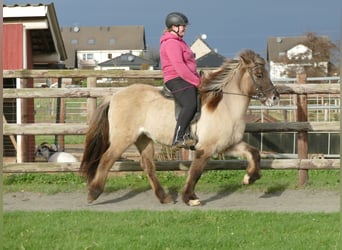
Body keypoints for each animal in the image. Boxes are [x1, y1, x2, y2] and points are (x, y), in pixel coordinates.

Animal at [81, 48, 280, 205]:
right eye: (259, 75)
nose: (274, 97)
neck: (226, 106)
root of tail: (114, 96)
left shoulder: (228, 144)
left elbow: (254, 153)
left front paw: (250, 177)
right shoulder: (206, 148)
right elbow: (196, 172)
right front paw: (190, 198)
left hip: (143, 138)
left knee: (148, 166)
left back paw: (164, 198)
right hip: (123, 138)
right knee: (107, 159)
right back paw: (93, 193)